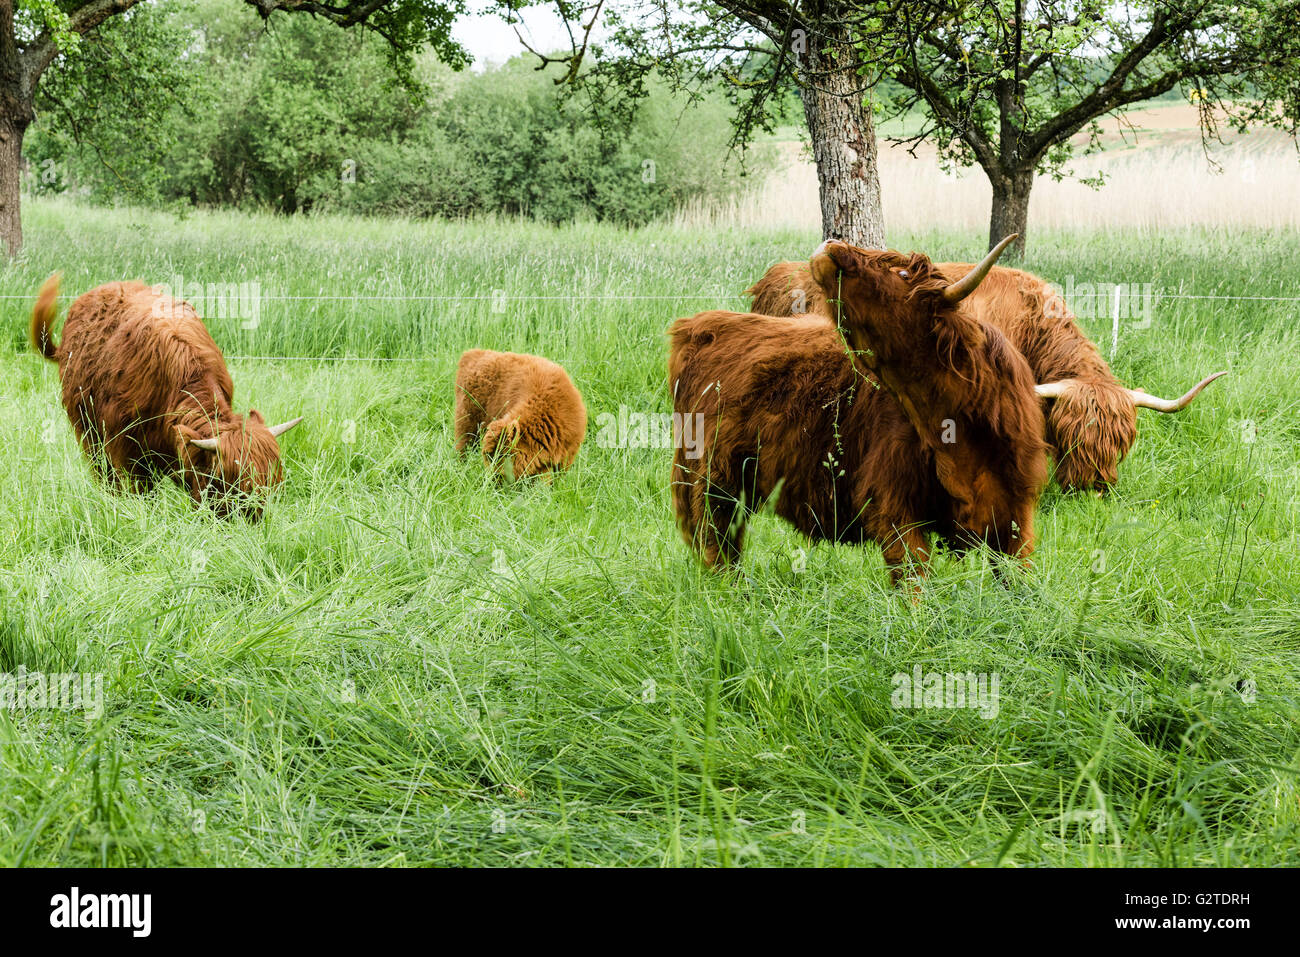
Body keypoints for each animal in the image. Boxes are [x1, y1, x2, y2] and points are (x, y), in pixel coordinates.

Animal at [30, 274, 301, 518]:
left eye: (272, 480)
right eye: (230, 483)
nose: (254, 521)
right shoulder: (126, 450)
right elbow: (141, 491)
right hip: (86, 428)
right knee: (102, 471)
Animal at [672, 236, 1047, 586]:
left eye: (901, 272)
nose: (831, 243)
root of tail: (700, 325)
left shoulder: (1016, 512)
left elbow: (1018, 579)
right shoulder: (894, 508)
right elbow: (914, 580)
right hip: (713, 479)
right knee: (719, 545)